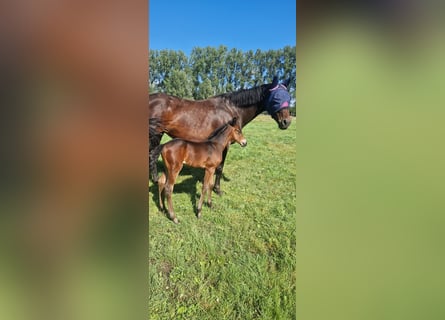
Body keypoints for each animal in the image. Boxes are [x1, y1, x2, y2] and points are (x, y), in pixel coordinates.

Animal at [150, 76, 292, 194]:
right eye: (276, 98)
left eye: (289, 98)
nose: (286, 122)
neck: (232, 109)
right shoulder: (225, 145)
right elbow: (220, 167)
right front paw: (217, 189)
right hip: (156, 134)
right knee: (152, 155)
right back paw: (156, 180)